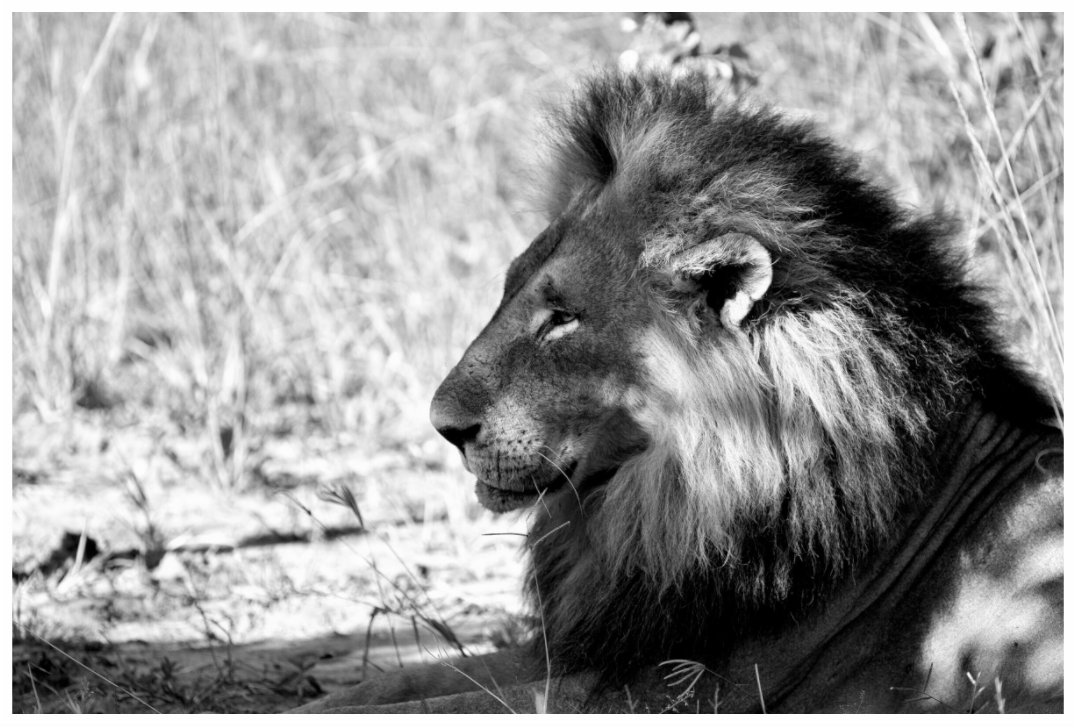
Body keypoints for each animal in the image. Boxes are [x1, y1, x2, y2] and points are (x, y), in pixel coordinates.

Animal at [295, 69, 1063, 713]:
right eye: (509, 289)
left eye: (562, 317)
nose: (444, 425)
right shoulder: (602, 646)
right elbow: (404, 681)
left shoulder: (665, 689)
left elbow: (432, 702)